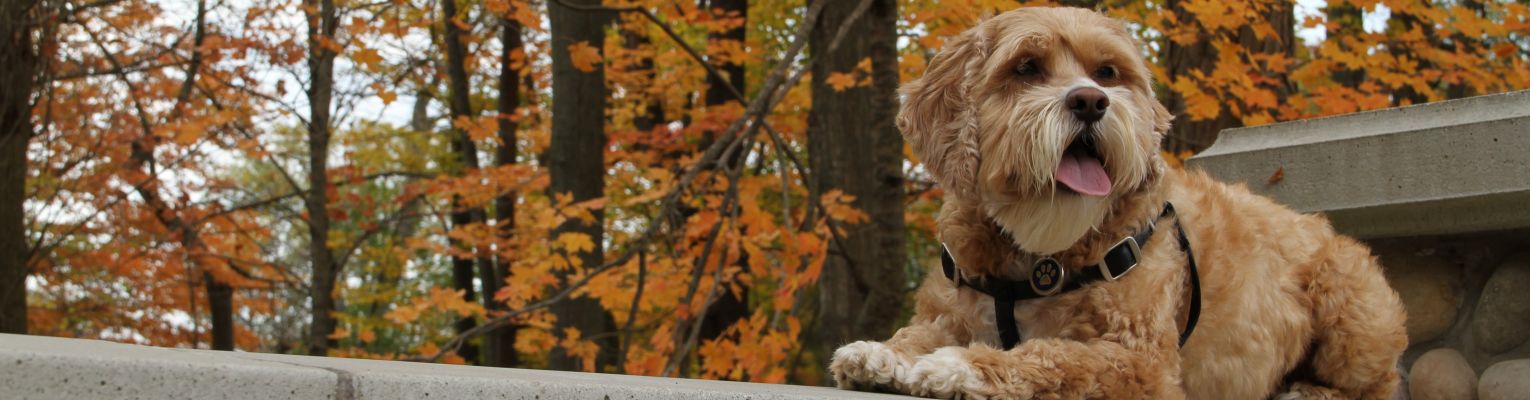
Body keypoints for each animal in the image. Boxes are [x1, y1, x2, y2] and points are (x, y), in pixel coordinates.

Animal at [832, 6, 1401, 398]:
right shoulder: (950, 310)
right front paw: (880, 353)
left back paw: (1307, 390)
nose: (1090, 101)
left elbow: (1055, 356)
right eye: (1026, 67)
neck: (1036, 251)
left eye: (1106, 72)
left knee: (1377, 386)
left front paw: (961, 365)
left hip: (1349, 309)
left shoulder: (1141, 360)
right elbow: (918, 333)